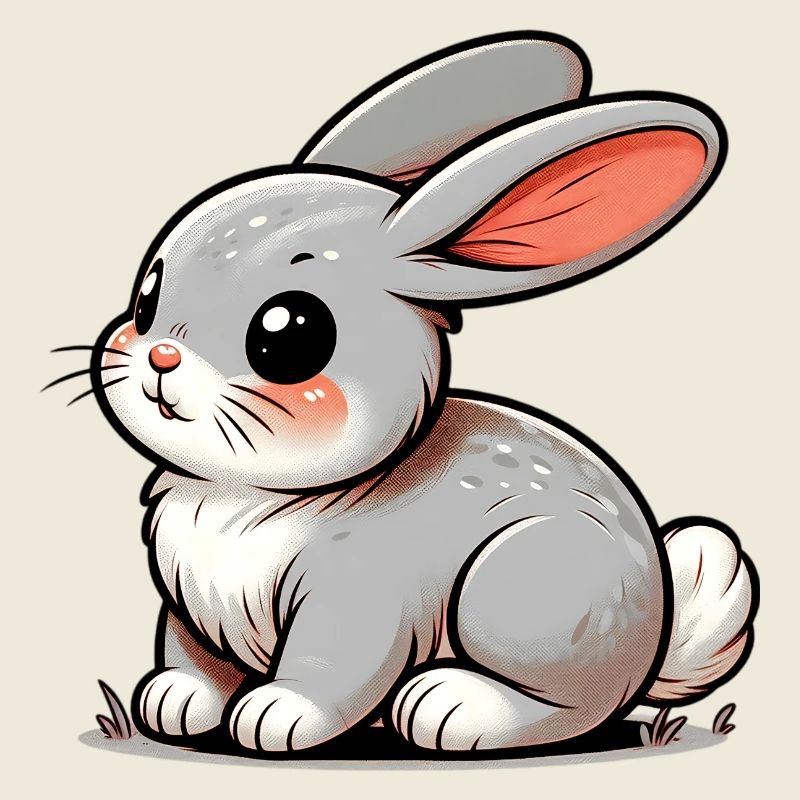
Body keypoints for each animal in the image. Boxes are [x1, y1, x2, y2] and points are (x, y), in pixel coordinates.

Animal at [67, 32, 757, 754]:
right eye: (147, 295)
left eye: (290, 333)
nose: (162, 357)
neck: (251, 496)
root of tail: (654, 635)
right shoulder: (190, 606)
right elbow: (189, 654)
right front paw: (172, 701)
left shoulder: (358, 598)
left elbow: (333, 666)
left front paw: (277, 715)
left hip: (517, 586)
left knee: (577, 706)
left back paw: (448, 708)